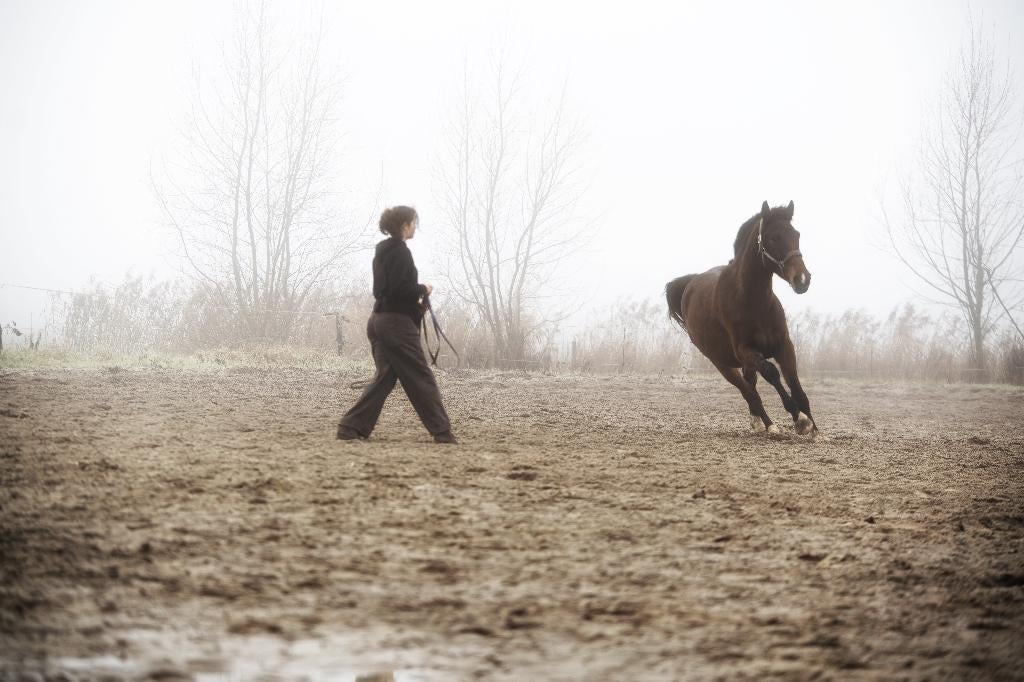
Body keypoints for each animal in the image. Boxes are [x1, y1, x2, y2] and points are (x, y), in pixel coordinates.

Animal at [666, 200, 817, 436]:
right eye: (773, 238)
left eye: (796, 234)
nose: (802, 279)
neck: (755, 303)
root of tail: (690, 284)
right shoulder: (746, 351)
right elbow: (772, 373)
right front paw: (799, 419)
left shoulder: (784, 346)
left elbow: (794, 381)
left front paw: (813, 427)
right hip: (722, 364)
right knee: (748, 392)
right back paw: (767, 424)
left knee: (750, 384)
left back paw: (758, 421)